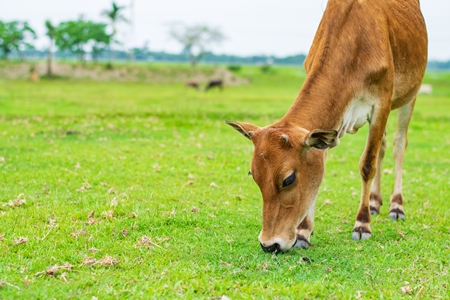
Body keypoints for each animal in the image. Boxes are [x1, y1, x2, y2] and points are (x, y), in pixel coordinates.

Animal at [227, 0, 428, 253]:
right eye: (254, 175)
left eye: (288, 179)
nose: (269, 244)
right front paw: (304, 232)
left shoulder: (381, 105)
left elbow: (367, 165)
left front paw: (362, 224)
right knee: (382, 146)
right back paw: (374, 202)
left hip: (409, 97)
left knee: (398, 145)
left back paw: (395, 206)